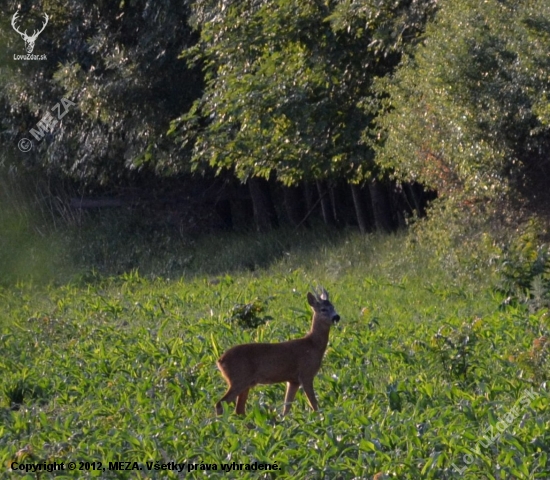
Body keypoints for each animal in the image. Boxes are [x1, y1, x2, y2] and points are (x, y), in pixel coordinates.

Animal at [216, 288, 340, 416]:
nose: (336, 317)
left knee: (239, 409)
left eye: (333, 306)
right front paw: (320, 417)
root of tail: (220, 361)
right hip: (239, 379)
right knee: (221, 404)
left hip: (245, 383)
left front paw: (285, 419)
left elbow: (286, 407)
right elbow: (314, 404)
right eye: (323, 309)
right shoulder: (306, 373)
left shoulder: (293, 380)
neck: (313, 345)